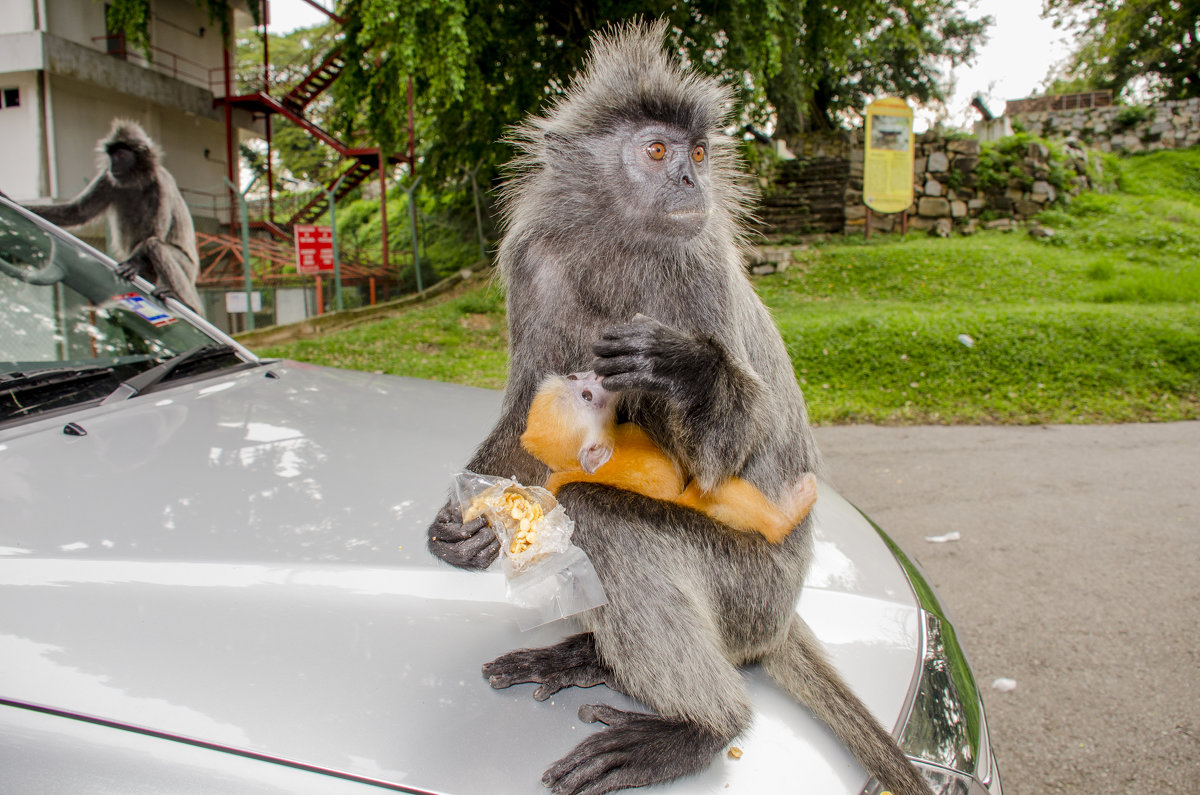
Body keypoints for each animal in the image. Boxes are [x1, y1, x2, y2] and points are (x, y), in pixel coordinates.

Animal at [25, 120, 202, 312]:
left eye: (121, 155)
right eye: (111, 155)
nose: (113, 165)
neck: (136, 180)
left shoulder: (159, 185)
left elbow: (155, 233)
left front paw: (133, 263)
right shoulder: (107, 178)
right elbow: (77, 212)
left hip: (187, 267)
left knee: (154, 245)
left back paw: (186, 303)